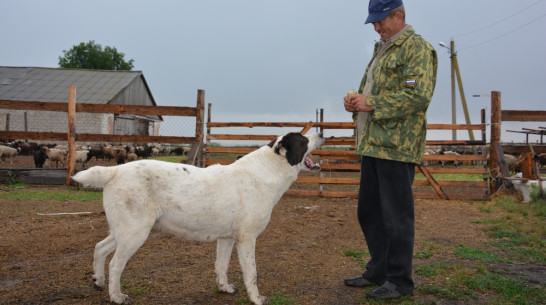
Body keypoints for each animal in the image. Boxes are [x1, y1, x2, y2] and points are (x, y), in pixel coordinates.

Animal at [70, 132, 320, 304]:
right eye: (302, 139)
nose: (323, 134)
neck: (269, 170)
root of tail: (115, 171)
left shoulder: (227, 239)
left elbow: (221, 266)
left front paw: (224, 287)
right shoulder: (247, 238)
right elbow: (252, 273)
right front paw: (257, 299)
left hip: (124, 230)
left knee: (99, 248)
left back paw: (99, 281)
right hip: (134, 233)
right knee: (115, 264)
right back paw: (117, 296)